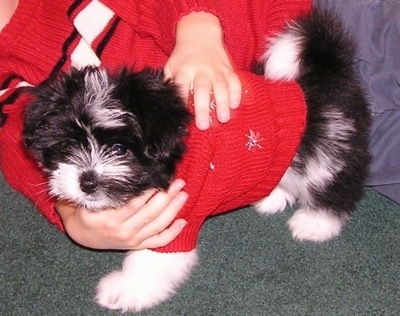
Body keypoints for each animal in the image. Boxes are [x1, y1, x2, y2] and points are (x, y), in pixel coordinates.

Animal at [23, 9, 370, 312]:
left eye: (120, 150)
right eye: (68, 145)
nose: (87, 181)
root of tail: (323, 70)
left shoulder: (175, 220)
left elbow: (149, 262)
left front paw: (125, 290)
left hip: (328, 147)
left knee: (337, 185)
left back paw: (315, 223)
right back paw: (271, 196)